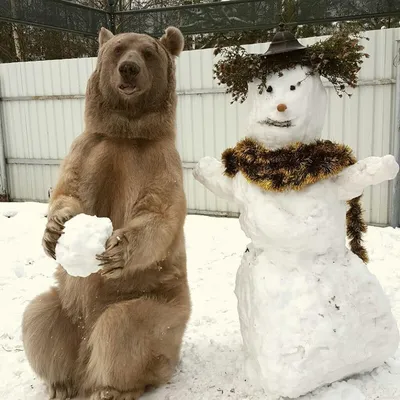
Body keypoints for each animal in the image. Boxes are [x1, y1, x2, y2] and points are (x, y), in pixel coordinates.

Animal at [21, 25, 191, 400]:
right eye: (117, 49)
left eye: (148, 52)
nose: (128, 68)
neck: (126, 133)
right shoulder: (90, 148)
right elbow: (67, 189)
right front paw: (54, 231)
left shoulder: (159, 161)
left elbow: (159, 211)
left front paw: (116, 249)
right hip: (66, 307)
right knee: (38, 319)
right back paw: (61, 383)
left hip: (160, 307)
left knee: (123, 329)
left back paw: (110, 388)